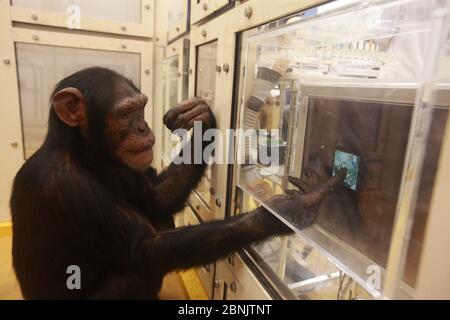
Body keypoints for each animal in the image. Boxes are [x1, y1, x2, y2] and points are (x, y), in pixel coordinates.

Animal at [9, 67, 344, 300]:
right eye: (125, 113)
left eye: (141, 107)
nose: (143, 127)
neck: (86, 154)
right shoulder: (63, 187)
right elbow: (143, 250)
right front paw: (283, 212)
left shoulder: (129, 167)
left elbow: (158, 198)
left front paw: (201, 117)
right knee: (138, 270)